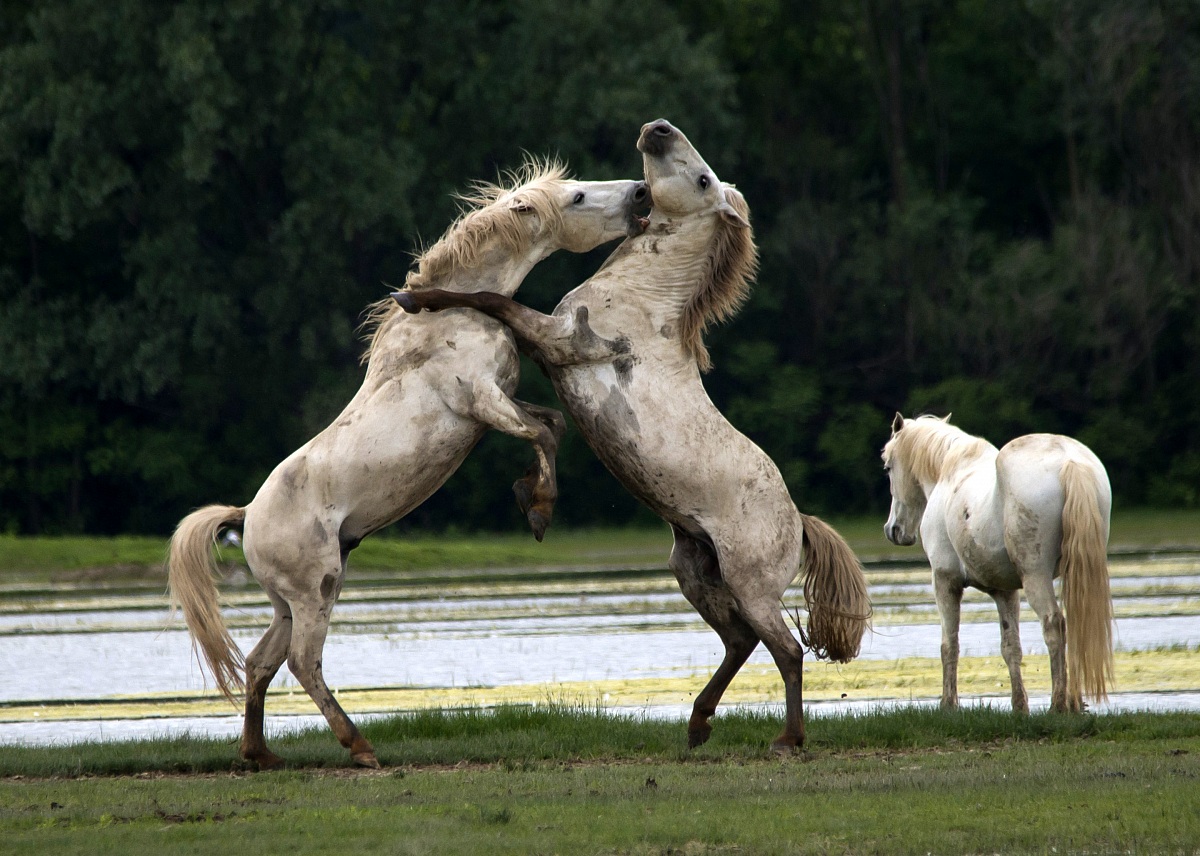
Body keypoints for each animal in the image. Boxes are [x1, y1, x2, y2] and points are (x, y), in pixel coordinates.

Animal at [168, 161, 649, 769]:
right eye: (580, 196)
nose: (641, 194)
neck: (448, 315)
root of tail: (246, 516)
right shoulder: (481, 400)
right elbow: (541, 432)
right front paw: (538, 508)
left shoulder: (500, 403)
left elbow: (552, 425)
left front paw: (528, 496)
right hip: (316, 591)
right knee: (303, 663)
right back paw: (360, 748)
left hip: (288, 603)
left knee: (260, 663)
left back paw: (261, 755)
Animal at [393, 119, 871, 752]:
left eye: (703, 178)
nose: (658, 128)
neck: (643, 303)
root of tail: (799, 523)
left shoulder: (560, 339)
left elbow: (491, 299)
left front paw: (416, 296)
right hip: (693, 569)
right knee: (739, 642)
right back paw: (697, 725)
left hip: (751, 585)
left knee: (786, 651)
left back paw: (786, 739)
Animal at [881, 413, 1114, 713]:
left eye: (888, 467)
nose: (894, 530)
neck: (949, 472)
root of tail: (1070, 462)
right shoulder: (1005, 591)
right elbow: (1010, 647)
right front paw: (1019, 706)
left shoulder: (945, 580)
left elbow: (949, 645)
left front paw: (948, 705)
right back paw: (1073, 704)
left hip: (1035, 576)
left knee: (1053, 624)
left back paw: (1058, 705)